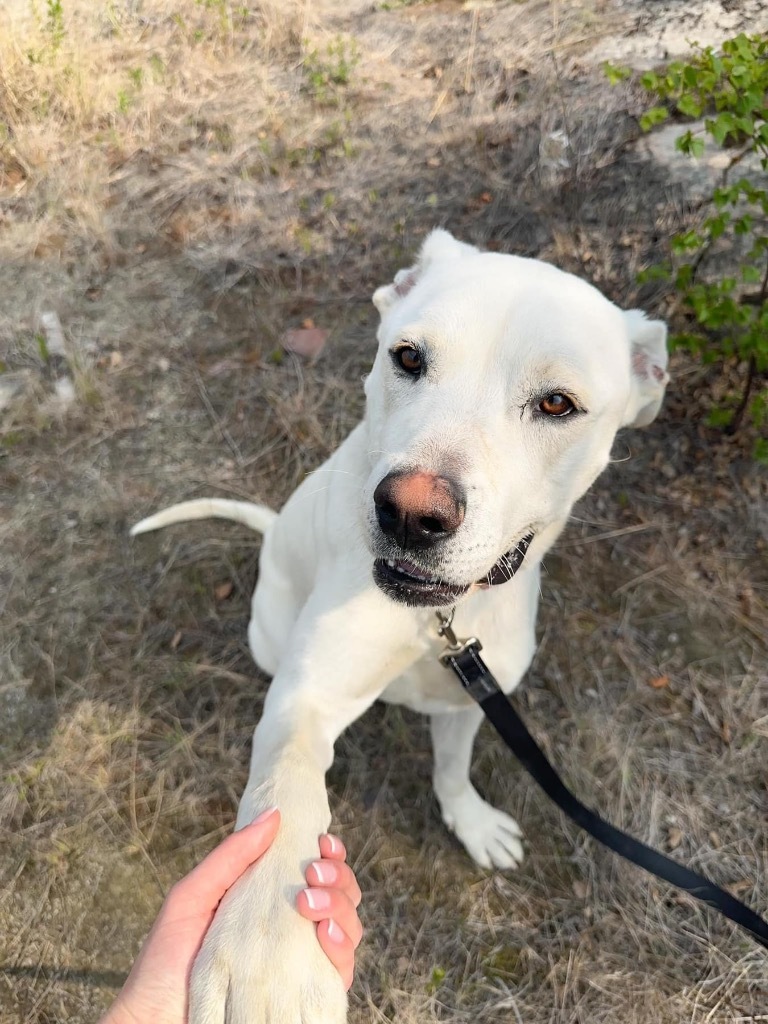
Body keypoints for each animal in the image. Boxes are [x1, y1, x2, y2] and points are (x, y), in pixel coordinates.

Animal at [132, 232, 667, 1024]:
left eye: (557, 404)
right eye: (408, 357)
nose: (411, 514)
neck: (434, 619)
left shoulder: (470, 696)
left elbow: (451, 770)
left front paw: (470, 822)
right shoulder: (309, 697)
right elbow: (284, 788)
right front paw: (270, 951)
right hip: (269, 629)